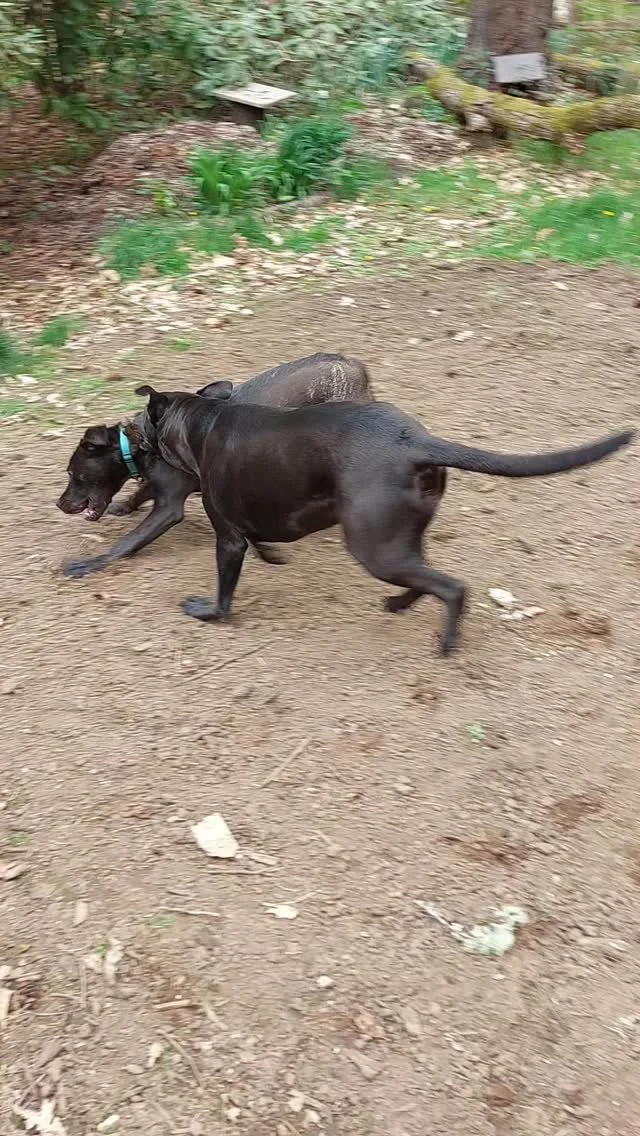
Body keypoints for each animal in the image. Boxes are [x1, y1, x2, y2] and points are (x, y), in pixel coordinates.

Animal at [57, 353, 373, 578]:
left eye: (74, 474)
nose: (59, 504)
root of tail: (356, 366)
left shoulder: (169, 508)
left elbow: (126, 542)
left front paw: (88, 564)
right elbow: (142, 492)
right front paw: (125, 505)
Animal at [133, 384, 634, 656]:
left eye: (142, 421)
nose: (133, 435)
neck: (200, 423)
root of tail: (415, 441)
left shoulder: (227, 537)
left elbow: (224, 594)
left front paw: (207, 612)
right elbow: (262, 541)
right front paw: (273, 556)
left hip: (372, 546)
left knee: (452, 587)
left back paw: (447, 643)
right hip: (398, 537)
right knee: (426, 578)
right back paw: (397, 604)